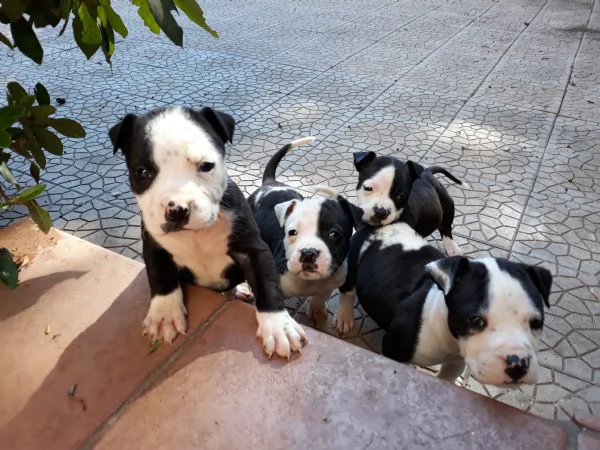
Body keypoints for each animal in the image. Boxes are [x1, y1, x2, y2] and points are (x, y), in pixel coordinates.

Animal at [108, 105, 308, 358]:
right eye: (142, 172)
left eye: (206, 166)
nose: (177, 209)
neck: (194, 234)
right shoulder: (154, 247)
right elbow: (161, 277)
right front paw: (164, 315)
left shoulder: (253, 249)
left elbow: (266, 283)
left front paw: (278, 326)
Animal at [248, 138, 356, 324]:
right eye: (292, 232)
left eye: (334, 234)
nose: (308, 253)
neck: (308, 282)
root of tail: (271, 183)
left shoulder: (332, 281)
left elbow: (322, 295)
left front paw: (317, 308)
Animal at [340, 221, 552, 386]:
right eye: (475, 320)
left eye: (537, 323)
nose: (518, 363)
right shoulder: (394, 348)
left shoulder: (456, 361)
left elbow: (446, 378)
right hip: (352, 264)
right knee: (347, 290)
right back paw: (344, 318)